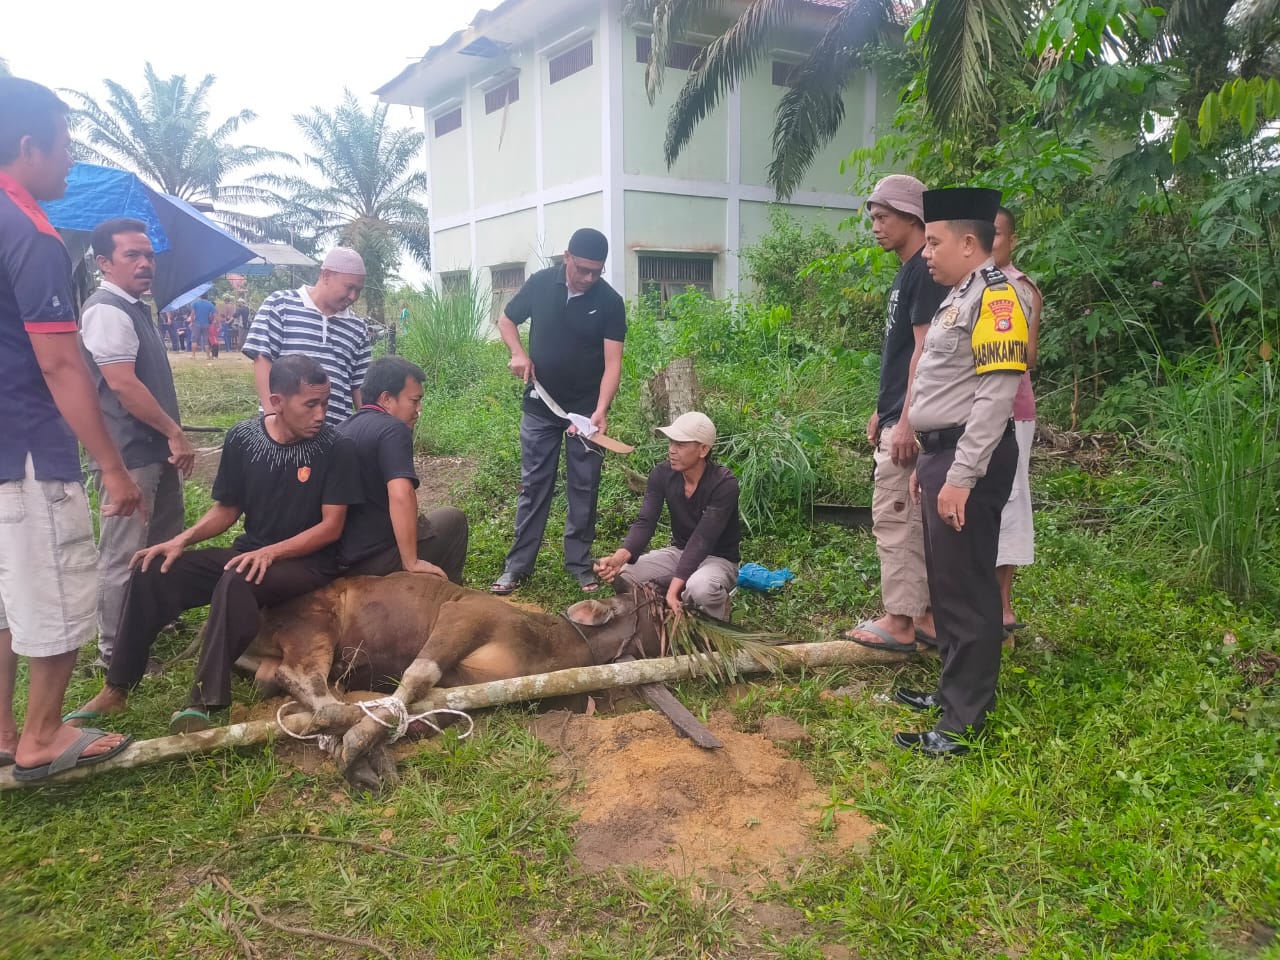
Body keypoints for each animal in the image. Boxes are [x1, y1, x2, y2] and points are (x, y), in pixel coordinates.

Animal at [241, 576, 670, 793]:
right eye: (656, 607)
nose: (675, 601)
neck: (550, 646)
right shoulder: (464, 615)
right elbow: (418, 675)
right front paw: (360, 740)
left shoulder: (460, 685)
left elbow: (427, 712)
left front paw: (370, 742)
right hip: (313, 625)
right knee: (301, 678)